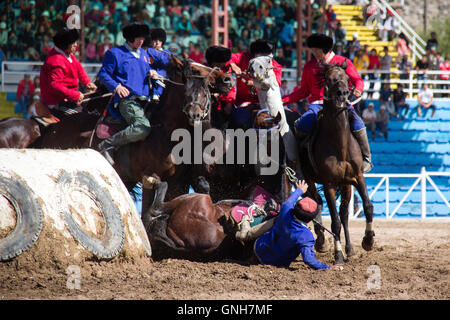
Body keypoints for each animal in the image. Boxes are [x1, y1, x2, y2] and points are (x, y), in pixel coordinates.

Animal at [298, 63, 376, 264]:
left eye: (347, 78)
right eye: (329, 78)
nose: (342, 93)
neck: (340, 144)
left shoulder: (357, 177)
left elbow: (367, 207)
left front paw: (368, 240)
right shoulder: (329, 184)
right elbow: (334, 221)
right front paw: (338, 254)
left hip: (346, 184)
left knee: (344, 214)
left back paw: (350, 249)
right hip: (310, 179)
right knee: (318, 202)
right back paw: (323, 242)